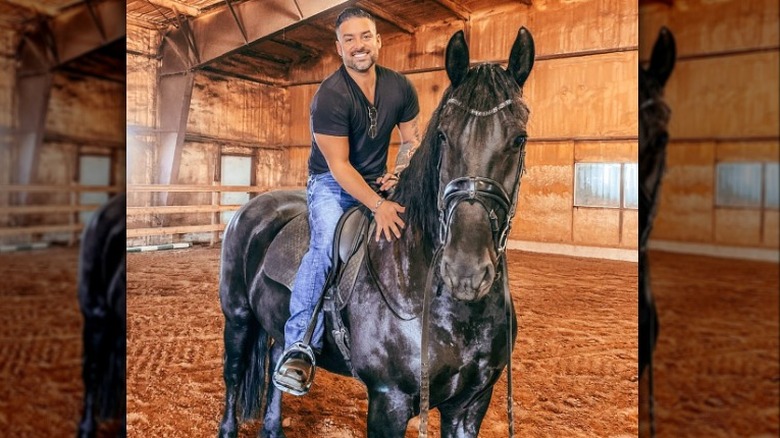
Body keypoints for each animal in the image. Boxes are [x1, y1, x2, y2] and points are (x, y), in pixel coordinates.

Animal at [218, 27, 536, 438]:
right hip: (238, 316)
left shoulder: (471, 404)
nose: (464, 271)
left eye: (519, 139)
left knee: (276, 358)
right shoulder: (389, 400)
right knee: (233, 375)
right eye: (444, 136)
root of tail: (251, 209)